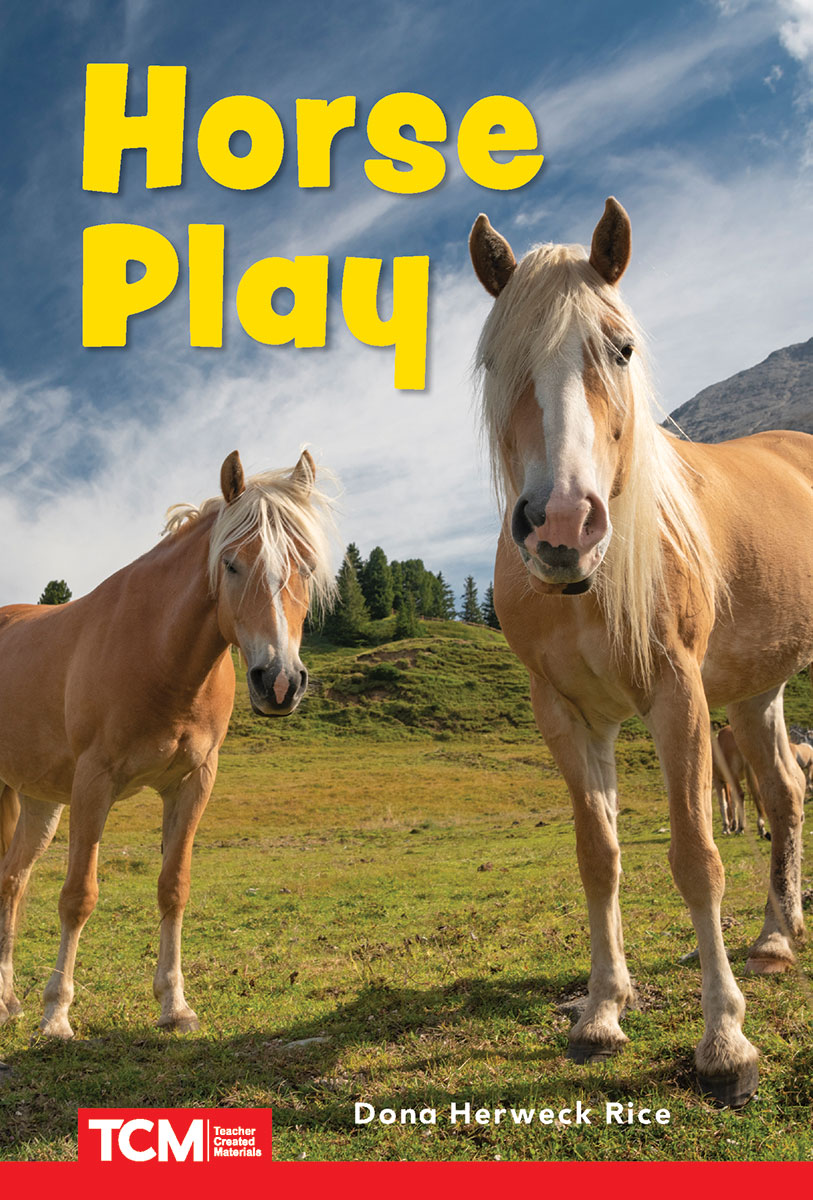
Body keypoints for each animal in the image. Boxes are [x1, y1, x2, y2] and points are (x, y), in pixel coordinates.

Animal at [0, 450, 336, 1039]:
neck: (157, 653)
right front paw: (57, 1014)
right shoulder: (94, 783)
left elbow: (173, 888)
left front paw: (174, 1005)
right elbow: (78, 896)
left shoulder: (192, 782)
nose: (279, 682)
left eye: (307, 566)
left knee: (14, 880)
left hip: (40, 801)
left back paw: (10, 999)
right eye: (231, 563)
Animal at [470, 198, 811, 1106]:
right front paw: (600, 1010)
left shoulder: (675, 697)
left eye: (619, 348)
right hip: (754, 694)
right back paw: (775, 936)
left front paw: (725, 1041)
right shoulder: (569, 716)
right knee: (784, 793)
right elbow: (600, 859)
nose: (560, 525)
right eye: (494, 360)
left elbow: (695, 859)